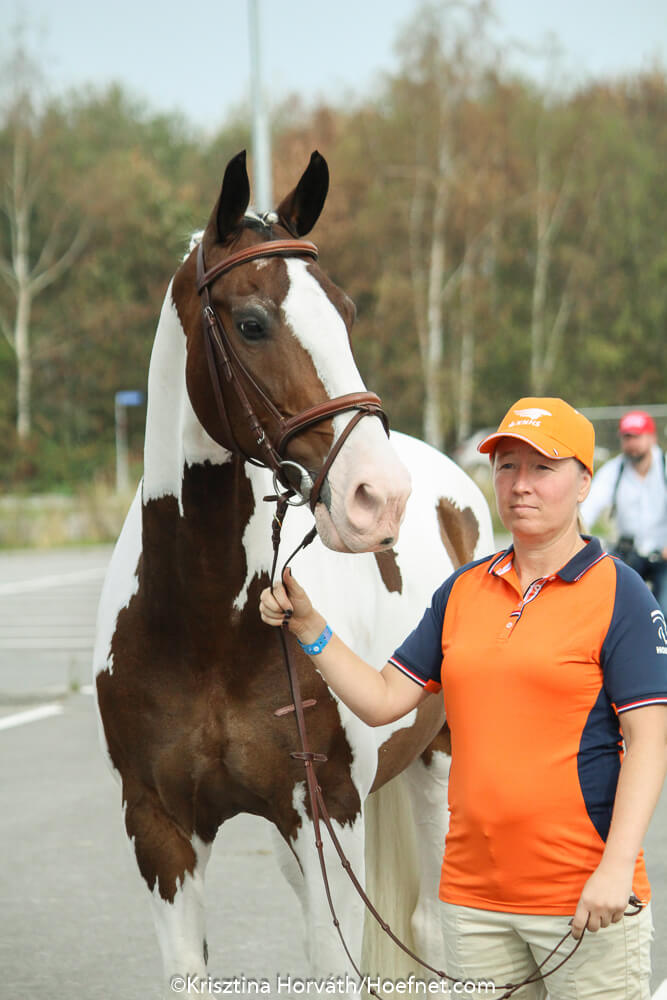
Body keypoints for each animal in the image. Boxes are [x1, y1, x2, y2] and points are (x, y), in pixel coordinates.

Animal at [94, 152, 494, 996]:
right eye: (252, 323)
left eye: (344, 311)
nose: (378, 495)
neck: (206, 627)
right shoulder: (160, 833)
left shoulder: (325, 814)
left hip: (437, 764)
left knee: (432, 928)